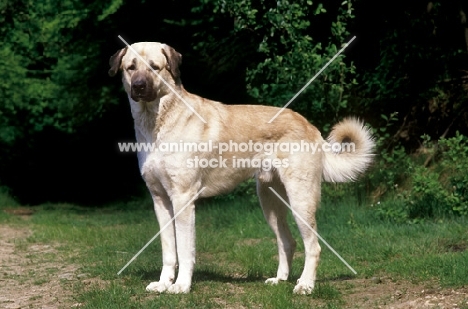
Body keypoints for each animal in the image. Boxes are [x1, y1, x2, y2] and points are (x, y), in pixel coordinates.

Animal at [108, 41, 374, 294]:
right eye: (131, 67)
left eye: (155, 67)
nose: (139, 86)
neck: (157, 122)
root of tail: (311, 126)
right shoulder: (160, 200)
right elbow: (168, 251)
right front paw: (163, 284)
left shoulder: (183, 199)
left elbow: (184, 250)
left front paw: (181, 286)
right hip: (269, 202)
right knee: (288, 242)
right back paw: (280, 280)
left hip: (301, 200)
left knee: (313, 246)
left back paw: (305, 286)